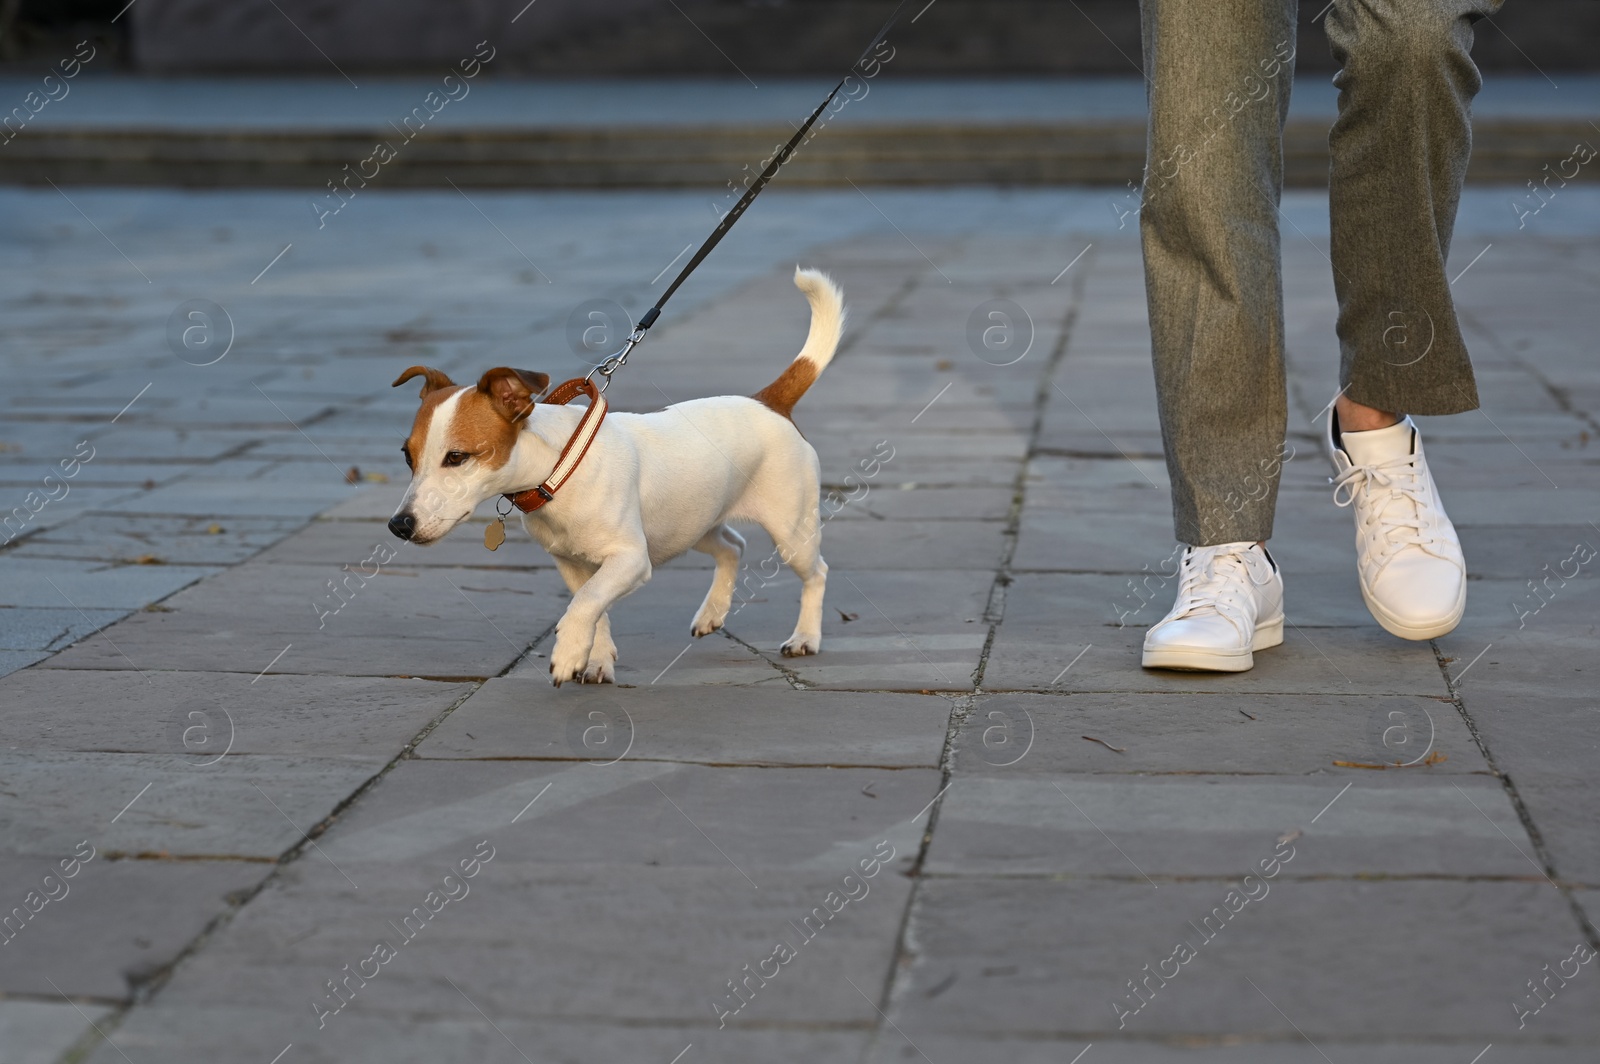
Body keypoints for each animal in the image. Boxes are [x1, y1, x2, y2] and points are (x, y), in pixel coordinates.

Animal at [385, 264, 844, 681]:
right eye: (408, 457)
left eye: (456, 457)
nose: (399, 525)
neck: (561, 469)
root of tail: (768, 402)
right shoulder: (571, 563)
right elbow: (594, 605)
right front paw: (596, 658)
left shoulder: (630, 559)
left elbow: (587, 602)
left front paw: (569, 651)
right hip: (691, 524)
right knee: (732, 545)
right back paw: (712, 612)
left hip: (790, 532)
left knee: (817, 572)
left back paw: (805, 637)